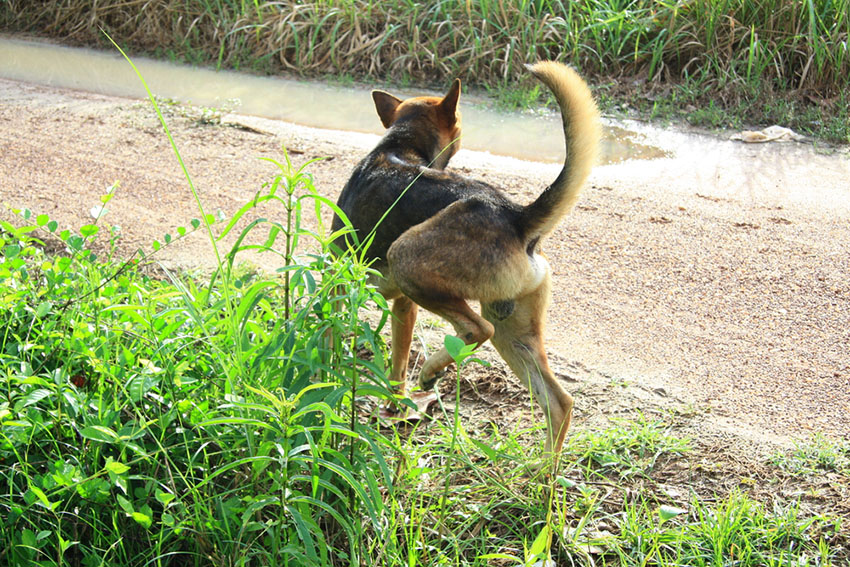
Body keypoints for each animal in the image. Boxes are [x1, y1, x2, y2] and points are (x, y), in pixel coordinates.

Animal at [328, 62, 600, 460]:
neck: (400, 143)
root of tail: (516, 216)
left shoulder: (339, 282)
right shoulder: (404, 307)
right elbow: (396, 367)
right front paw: (393, 408)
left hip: (408, 259)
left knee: (476, 330)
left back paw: (431, 371)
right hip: (514, 332)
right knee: (559, 402)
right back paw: (540, 472)